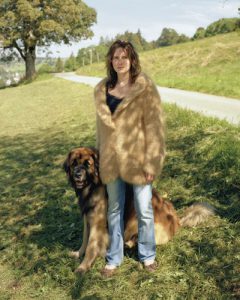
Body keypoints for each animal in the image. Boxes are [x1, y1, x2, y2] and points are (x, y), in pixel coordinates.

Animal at [63, 146, 214, 274]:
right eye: (74, 163)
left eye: (87, 164)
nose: (77, 174)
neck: (92, 186)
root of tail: (177, 220)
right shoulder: (87, 217)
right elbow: (85, 240)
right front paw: (78, 254)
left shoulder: (97, 223)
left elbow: (91, 246)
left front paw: (83, 267)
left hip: (141, 222)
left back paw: (130, 243)